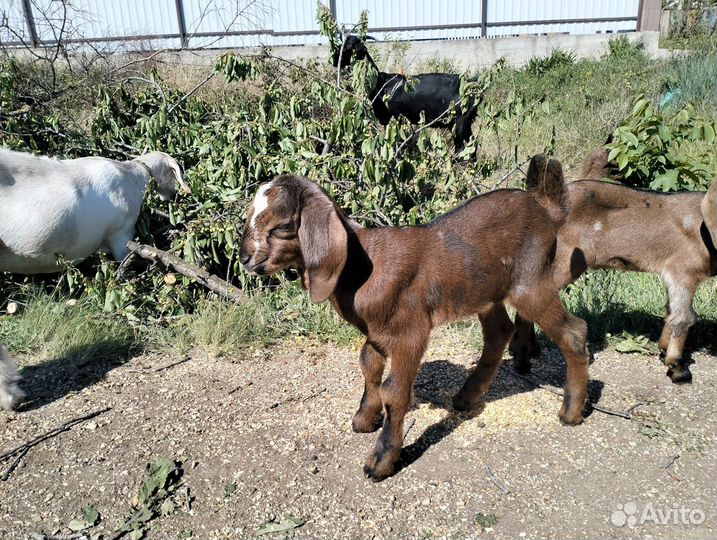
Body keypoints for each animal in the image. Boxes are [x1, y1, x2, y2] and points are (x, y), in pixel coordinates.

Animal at [332, 36, 478, 151]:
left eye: (349, 46)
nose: (334, 60)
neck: (382, 83)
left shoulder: (397, 118)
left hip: (459, 122)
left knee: (463, 146)